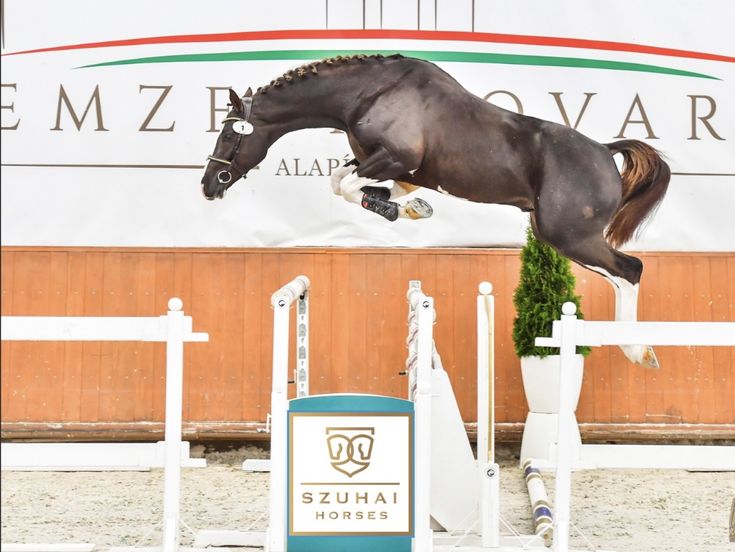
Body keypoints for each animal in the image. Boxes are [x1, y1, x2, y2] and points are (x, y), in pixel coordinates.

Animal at [203, 55, 672, 366]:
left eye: (228, 134)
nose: (208, 185)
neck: (367, 93)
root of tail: (604, 152)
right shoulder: (389, 164)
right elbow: (343, 182)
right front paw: (410, 206)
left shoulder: (396, 156)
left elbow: (347, 186)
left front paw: (397, 209)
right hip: (559, 234)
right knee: (621, 274)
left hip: (569, 235)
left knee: (629, 270)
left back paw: (637, 349)